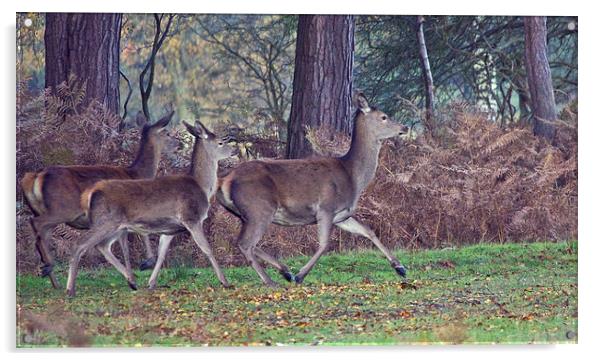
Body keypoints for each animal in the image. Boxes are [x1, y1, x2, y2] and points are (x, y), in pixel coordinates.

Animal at [19, 109, 175, 286]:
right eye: (167, 133)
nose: (180, 144)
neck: (137, 175)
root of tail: (36, 176)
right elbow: (141, 234)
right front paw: (145, 263)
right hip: (63, 209)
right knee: (36, 223)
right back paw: (50, 268)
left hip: (44, 210)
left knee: (42, 233)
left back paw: (52, 278)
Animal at [66, 121, 232, 296]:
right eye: (220, 142)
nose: (234, 151)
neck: (202, 187)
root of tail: (90, 193)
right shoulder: (191, 217)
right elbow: (207, 249)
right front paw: (225, 281)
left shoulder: (170, 229)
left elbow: (161, 255)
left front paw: (151, 283)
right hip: (106, 221)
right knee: (79, 244)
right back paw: (70, 289)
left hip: (114, 225)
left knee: (102, 246)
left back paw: (132, 282)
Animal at [216, 93, 408, 286]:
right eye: (384, 117)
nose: (405, 127)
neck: (352, 177)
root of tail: (225, 180)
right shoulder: (326, 207)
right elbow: (324, 244)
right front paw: (301, 275)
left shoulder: (342, 215)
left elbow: (368, 231)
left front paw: (400, 267)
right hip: (259, 208)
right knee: (246, 243)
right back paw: (271, 280)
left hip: (243, 214)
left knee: (245, 243)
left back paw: (285, 271)